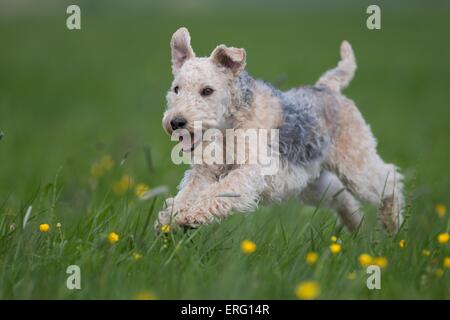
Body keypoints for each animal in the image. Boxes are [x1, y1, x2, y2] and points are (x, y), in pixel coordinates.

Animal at [156, 27, 404, 232]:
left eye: (207, 90)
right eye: (176, 88)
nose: (176, 122)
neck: (230, 124)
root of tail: (327, 88)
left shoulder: (251, 170)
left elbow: (220, 190)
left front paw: (191, 215)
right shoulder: (204, 171)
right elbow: (188, 192)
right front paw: (170, 217)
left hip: (355, 165)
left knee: (389, 179)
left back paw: (392, 226)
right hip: (313, 181)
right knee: (342, 196)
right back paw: (357, 227)